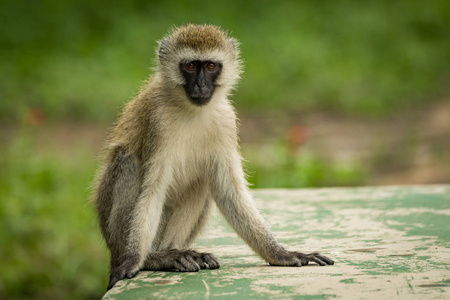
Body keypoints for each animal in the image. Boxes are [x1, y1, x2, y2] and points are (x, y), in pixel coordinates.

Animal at [93, 24, 334, 292]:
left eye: (210, 66)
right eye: (190, 66)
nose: (200, 86)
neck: (191, 111)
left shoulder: (226, 119)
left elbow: (229, 191)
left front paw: (281, 254)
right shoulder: (158, 122)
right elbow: (152, 191)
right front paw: (135, 260)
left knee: (200, 182)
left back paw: (174, 252)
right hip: (115, 235)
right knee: (127, 160)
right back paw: (154, 258)